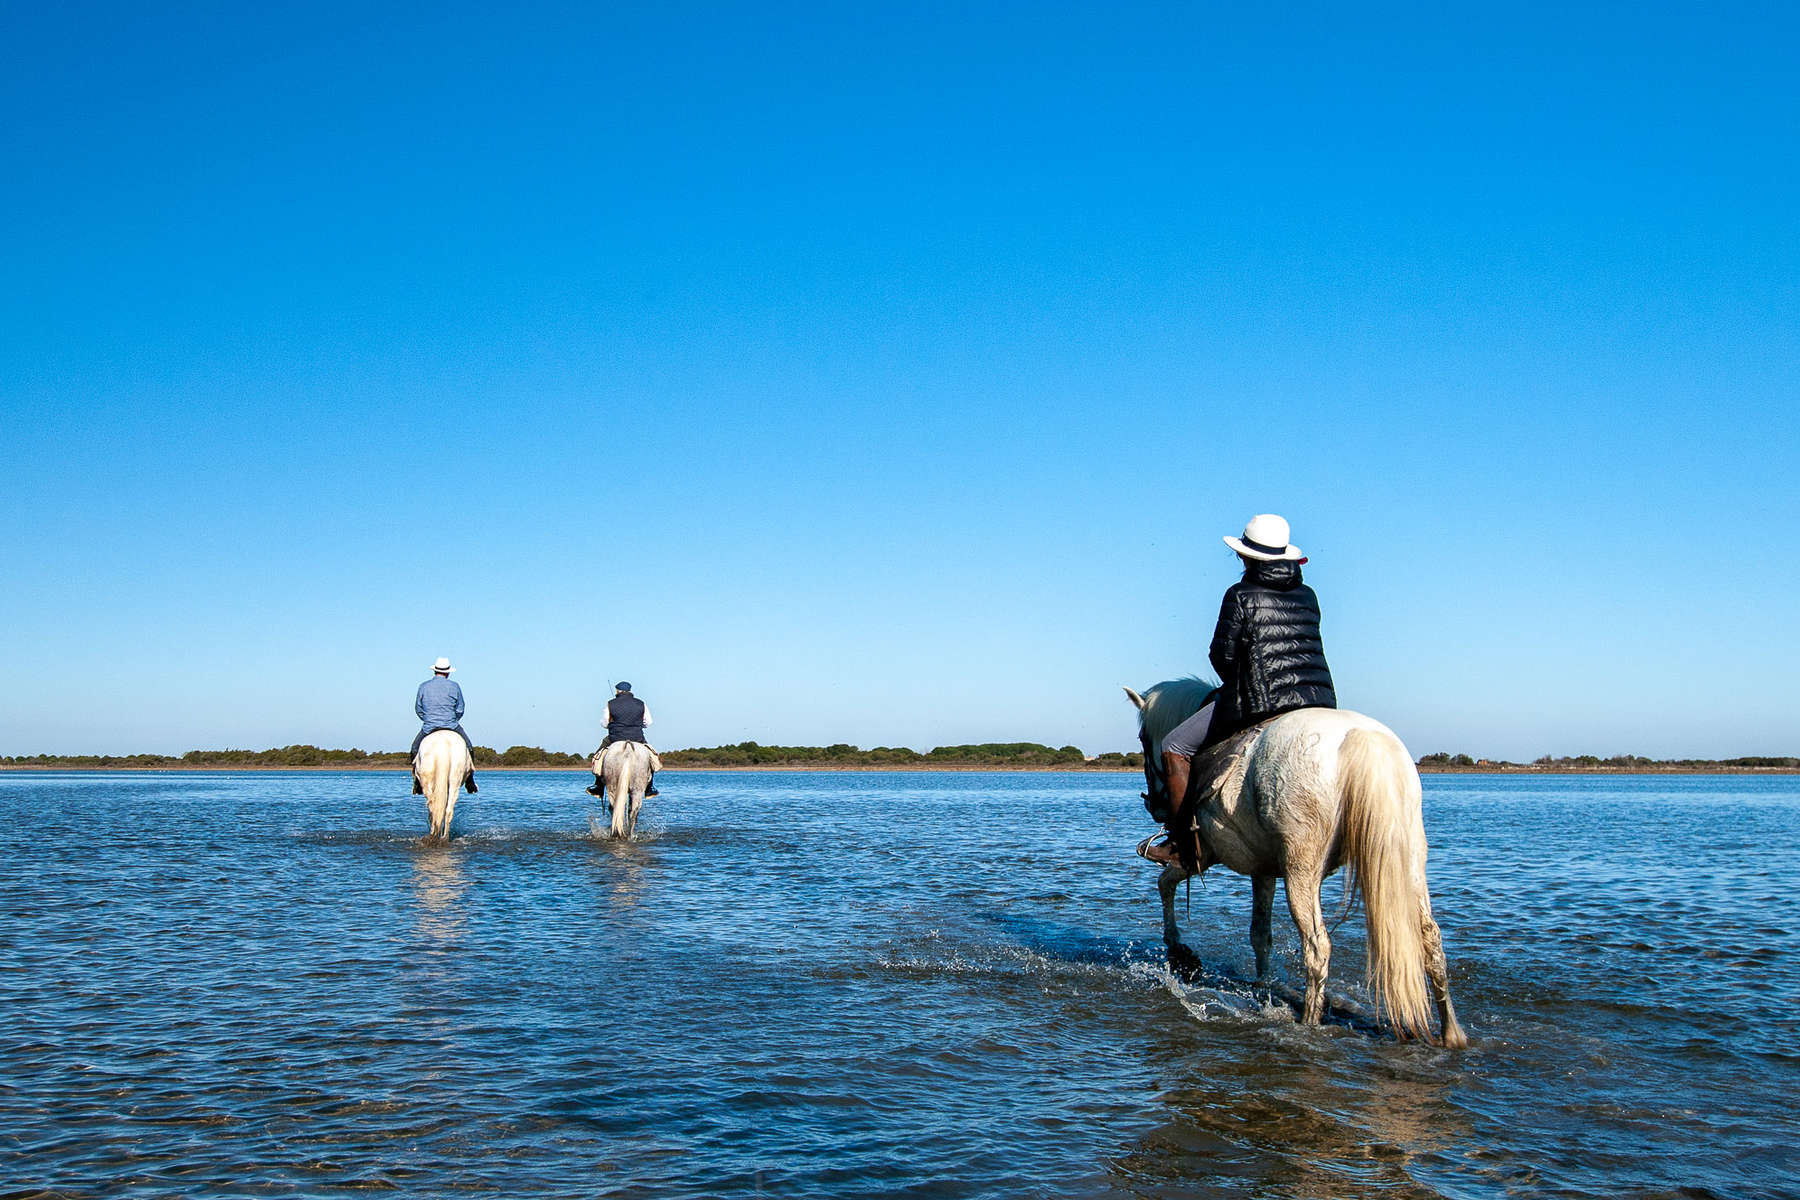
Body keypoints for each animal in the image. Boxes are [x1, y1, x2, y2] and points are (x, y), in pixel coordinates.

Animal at [1130, 680, 1468, 1043]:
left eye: (1143, 739)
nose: (1153, 805)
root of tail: (1364, 739)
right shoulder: (1262, 870)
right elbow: (1259, 933)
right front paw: (1262, 985)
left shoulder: (1203, 854)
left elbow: (1165, 883)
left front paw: (1177, 949)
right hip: (1410, 862)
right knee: (1431, 942)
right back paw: (1451, 1033)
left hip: (1301, 871)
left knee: (1317, 948)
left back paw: (1308, 1021)